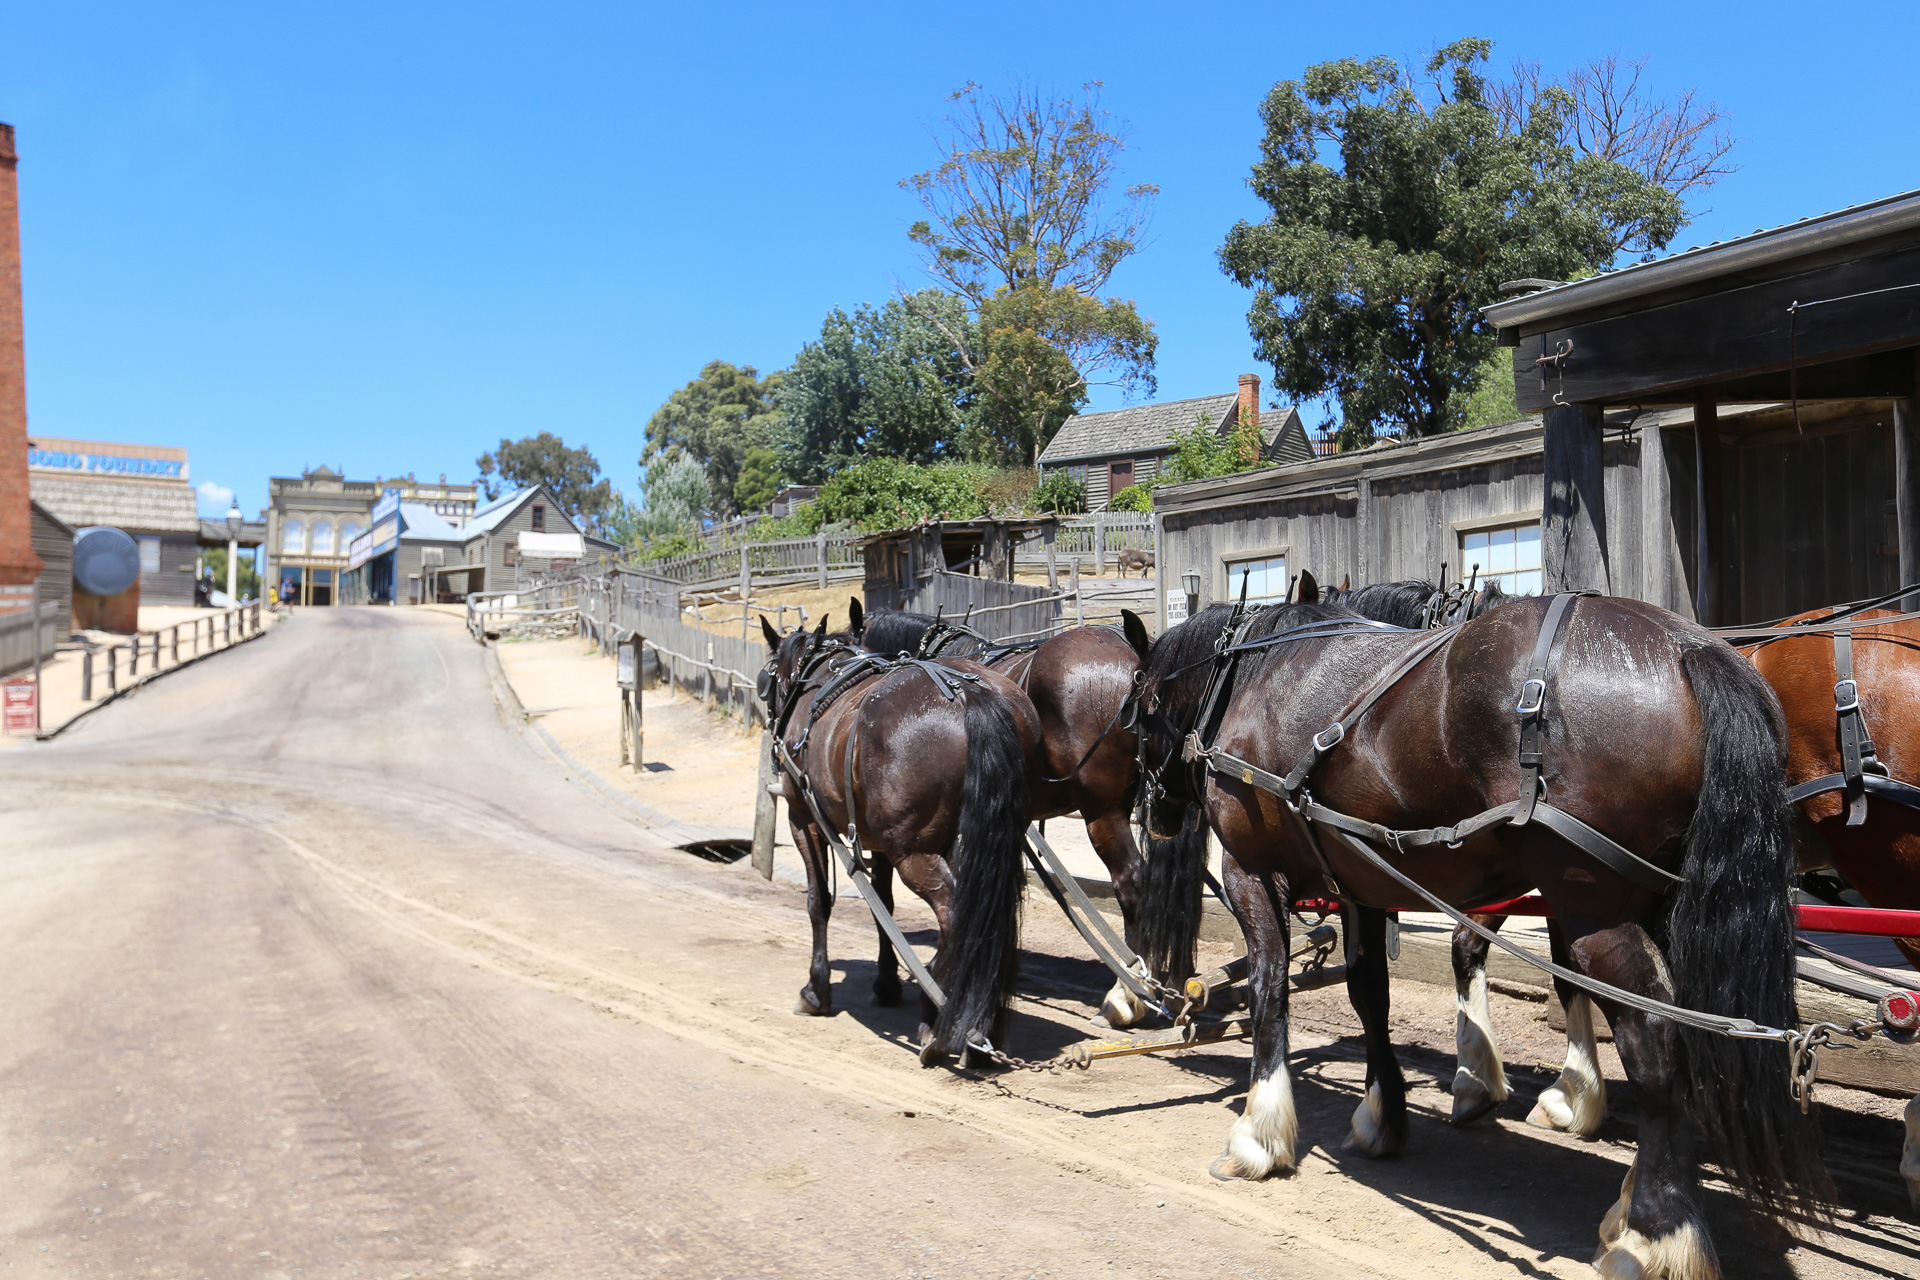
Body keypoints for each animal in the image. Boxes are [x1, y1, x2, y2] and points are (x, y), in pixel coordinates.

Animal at [756, 614, 1044, 1066]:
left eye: (766, 681)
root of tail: (971, 693)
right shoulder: (876, 841)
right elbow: (884, 910)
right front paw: (886, 983)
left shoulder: (803, 818)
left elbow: (818, 901)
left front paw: (816, 990)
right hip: (992, 837)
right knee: (991, 912)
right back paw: (982, 1024)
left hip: (914, 851)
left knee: (956, 913)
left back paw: (940, 1018)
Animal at [1136, 583, 1827, 1280]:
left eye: (1139, 712)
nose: (1153, 810)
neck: (1253, 675)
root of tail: (1687, 649)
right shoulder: (1361, 880)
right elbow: (1369, 997)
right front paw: (1382, 1116)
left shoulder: (1250, 872)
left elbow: (1269, 989)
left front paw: (1259, 1133)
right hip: (1660, 903)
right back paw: (1632, 1207)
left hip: (1593, 909)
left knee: (1654, 1037)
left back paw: (1654, 1231)